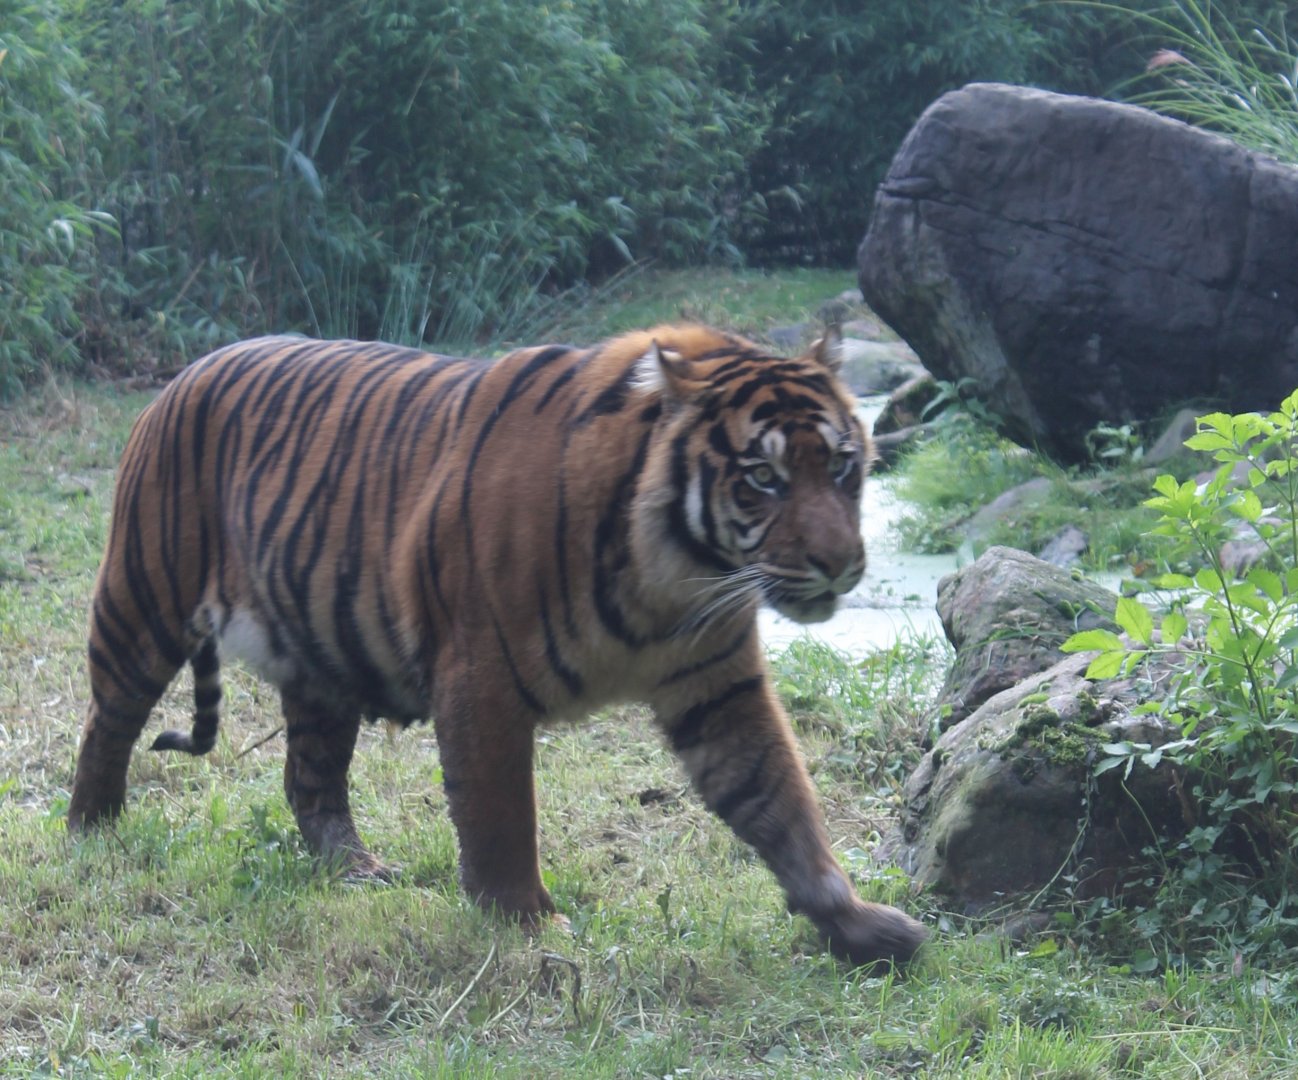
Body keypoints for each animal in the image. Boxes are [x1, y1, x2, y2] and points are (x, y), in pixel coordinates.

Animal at [67, 323, 926, 969]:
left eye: (842, 465)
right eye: (763, 478)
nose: (840, 562)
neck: (677, 573)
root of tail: (188, 370)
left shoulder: (719, 685)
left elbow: (779, 800)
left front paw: (854, 922)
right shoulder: (480, 678)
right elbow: (501, 813)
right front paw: (525, 922)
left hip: (321, 655)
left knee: (310, 777)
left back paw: (355, 868)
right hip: (142, 599)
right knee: (108, 721)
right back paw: (93, 829)